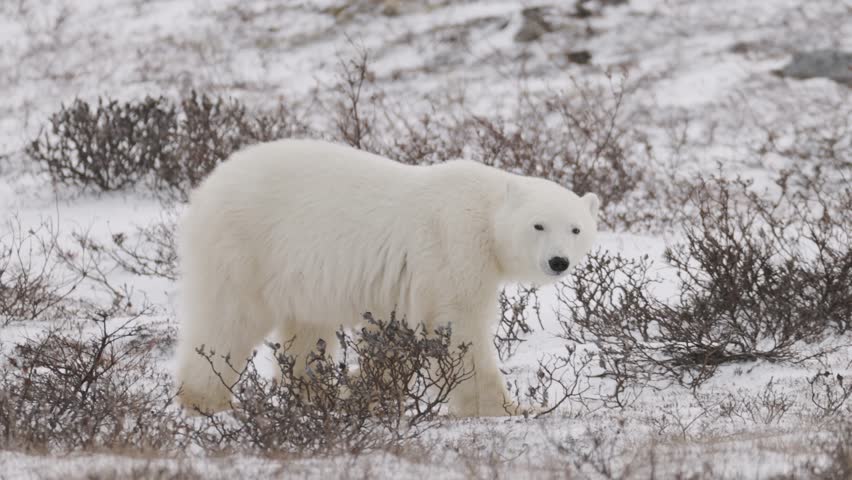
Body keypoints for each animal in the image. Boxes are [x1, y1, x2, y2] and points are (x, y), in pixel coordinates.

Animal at [175, 139, 599, 417]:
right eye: (538, 225)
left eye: (576, 229)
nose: (558, 261)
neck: (485, 210)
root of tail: (209, 183)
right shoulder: (454, 243)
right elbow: (457, 325)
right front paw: (507, 407)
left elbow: (393, 335)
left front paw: (361, 389)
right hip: (246, 246)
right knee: (229, 320)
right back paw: (204, 398)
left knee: (308, 330)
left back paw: (315, 394)